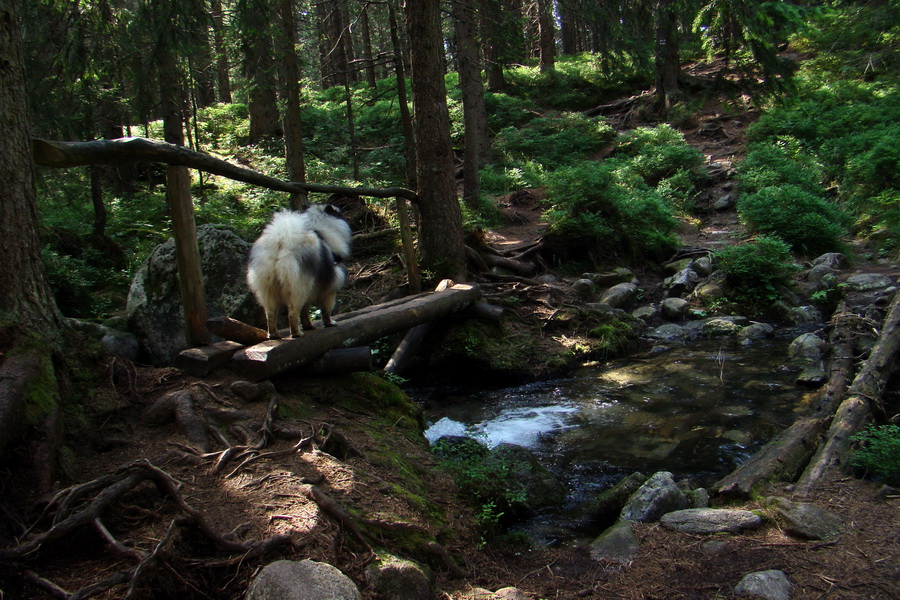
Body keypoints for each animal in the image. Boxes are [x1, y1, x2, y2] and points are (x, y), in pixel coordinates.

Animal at [246, 205, 352, 338]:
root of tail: (280, 242)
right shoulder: (330, 288)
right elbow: (326, 310)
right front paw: (329, 323)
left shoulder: (312, 291)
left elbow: (305, 312)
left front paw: (308, 326)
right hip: (298, 287)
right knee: (292, 313)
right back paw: (296, 333)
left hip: (268, 289)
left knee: (270, 314)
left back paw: (274, 334)